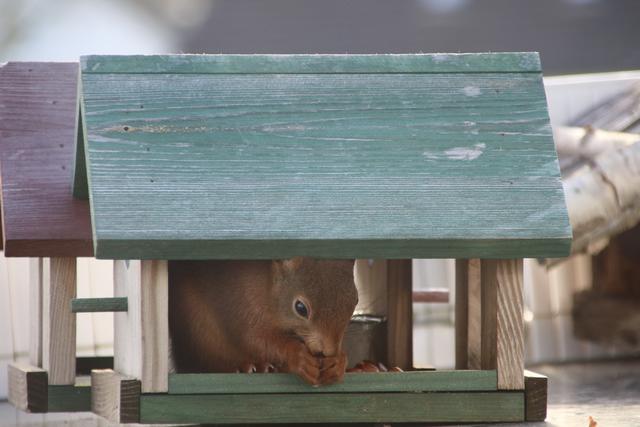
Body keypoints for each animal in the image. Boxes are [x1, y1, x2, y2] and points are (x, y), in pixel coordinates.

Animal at [170, 258, 358, 388]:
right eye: (300, 308)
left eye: (355, 302)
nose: (329, 351)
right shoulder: (242, 304)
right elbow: (255, 340)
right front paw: (298, 357)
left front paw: (338, 363)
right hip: (199, 334)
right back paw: (247, 367)